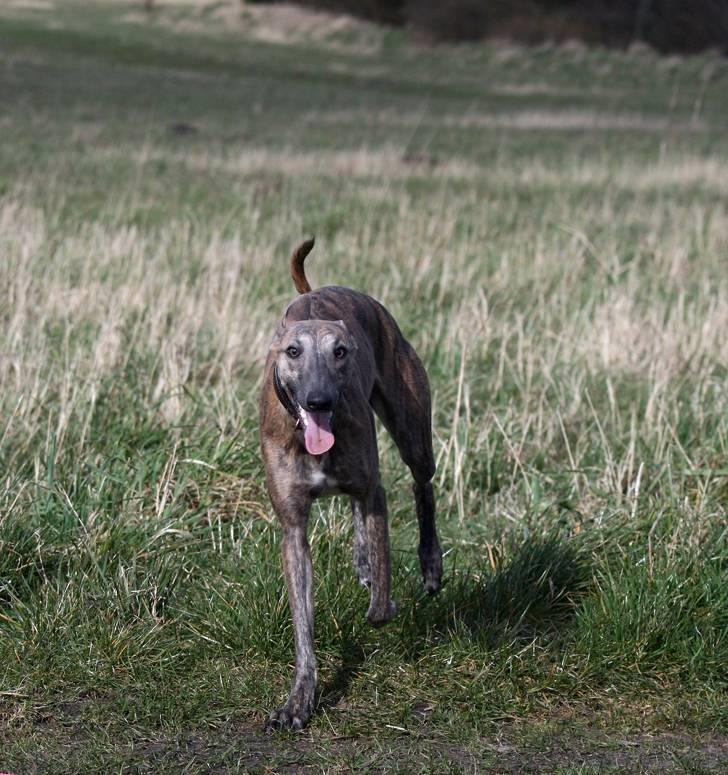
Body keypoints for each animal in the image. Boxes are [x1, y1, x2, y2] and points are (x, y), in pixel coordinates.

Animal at [262, 239, 444, 732]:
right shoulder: (293, 529)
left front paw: (387, 600)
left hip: (411, 425)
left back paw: (430, 563)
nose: (318, 400)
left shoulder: (373, 490)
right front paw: (299, 700)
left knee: (423, 486)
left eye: (340, 352)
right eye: (292, 352)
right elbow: (303, 626)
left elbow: (381, 598)